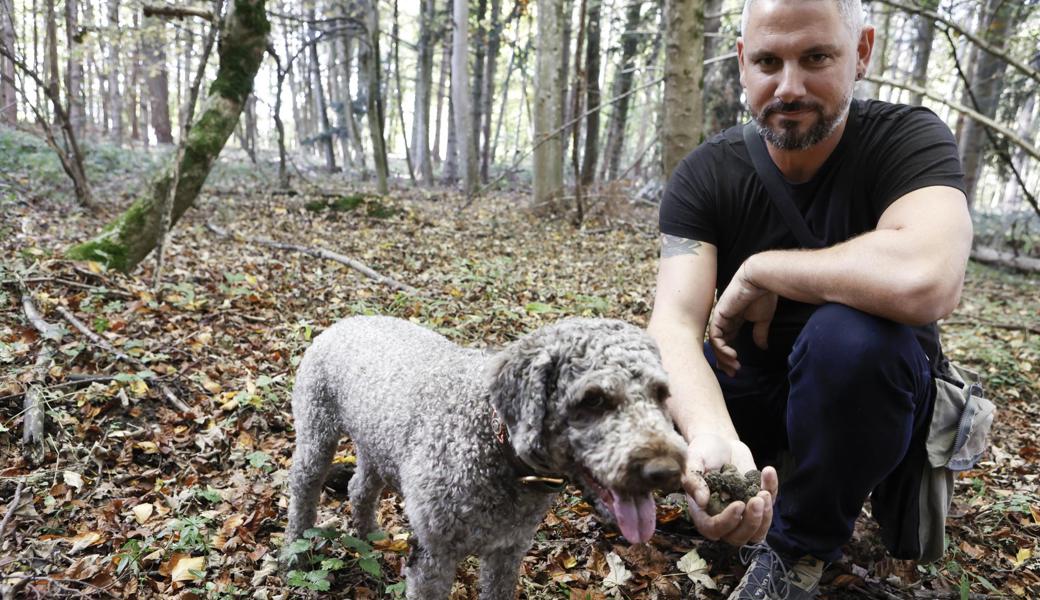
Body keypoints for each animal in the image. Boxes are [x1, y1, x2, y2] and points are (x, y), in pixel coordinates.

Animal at [289, 316, 686, 594]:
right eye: (593, 399)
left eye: (661, 393)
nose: (665, 470)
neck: (492, 442)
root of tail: (345, 322)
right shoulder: (433, 558)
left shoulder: (507, 553)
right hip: (317, 434)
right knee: (303, 491)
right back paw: (294, 555)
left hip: (378, 445)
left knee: (360, 487)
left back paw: (370, 535)